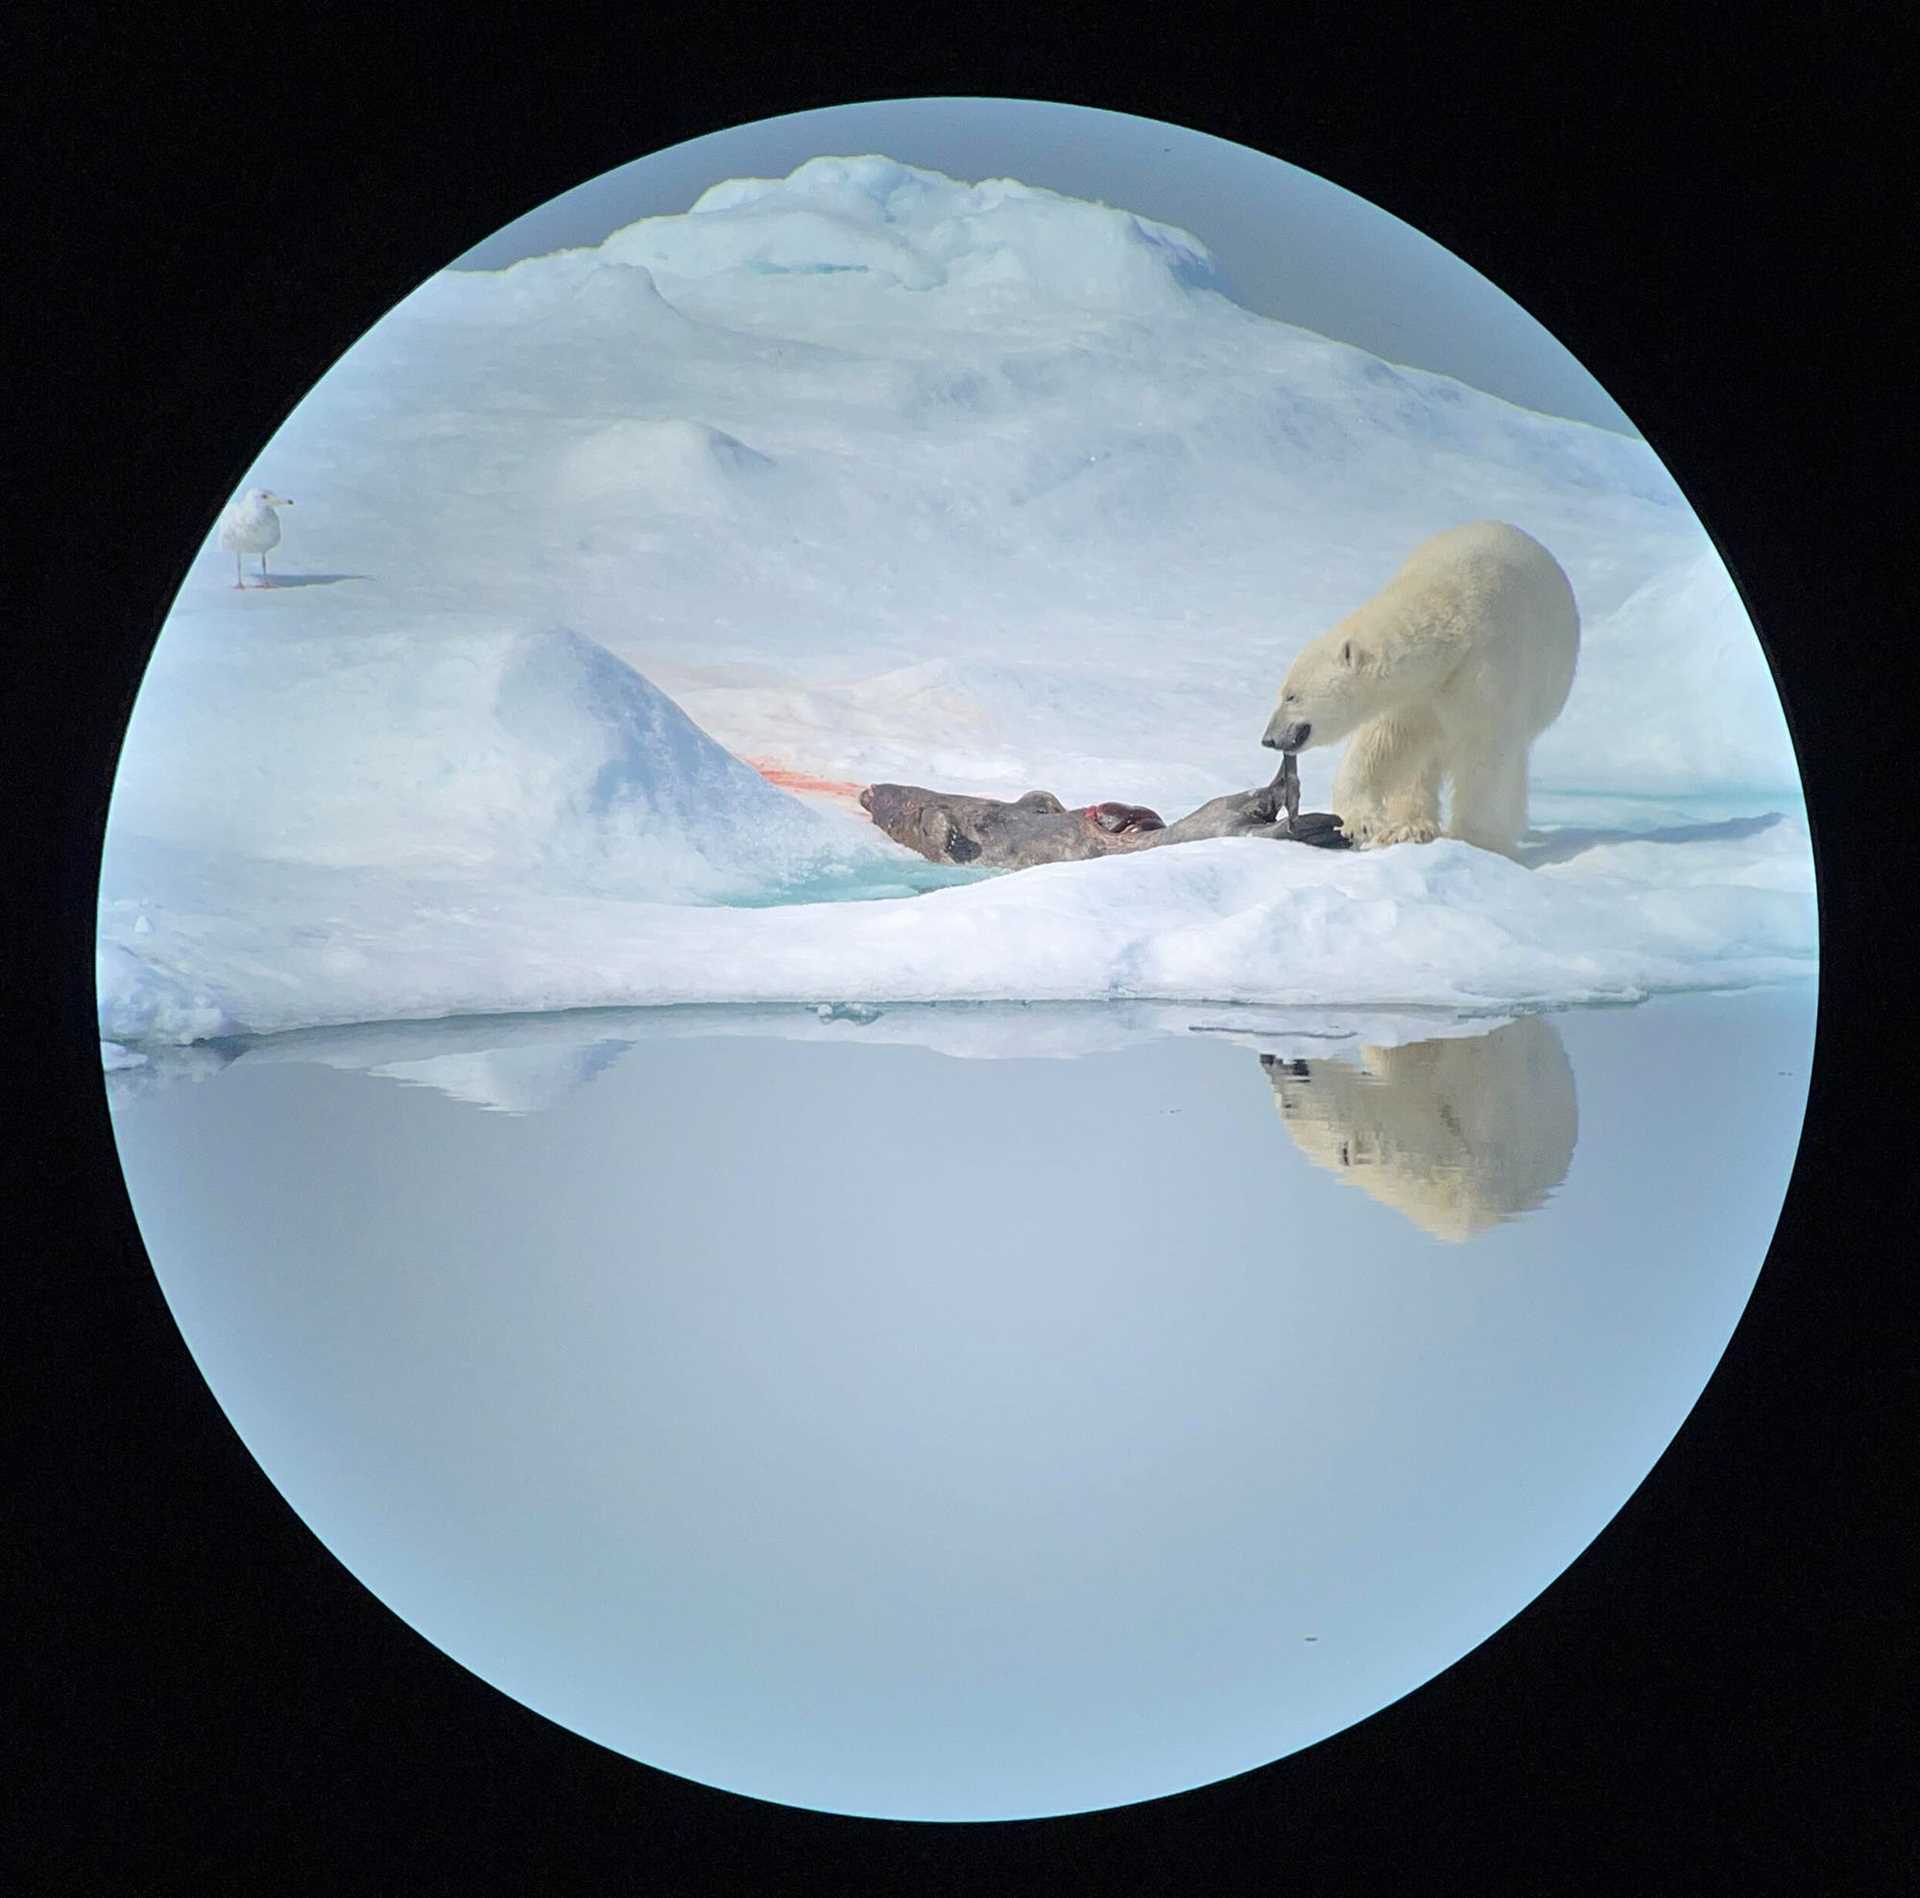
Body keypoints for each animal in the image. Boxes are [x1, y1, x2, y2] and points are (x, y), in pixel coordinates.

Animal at [1259, 510, 1574, 852]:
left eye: (1291, 695)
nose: (1269, 738)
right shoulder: (1412, 696)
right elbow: (1382, 744)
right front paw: (1360, 823)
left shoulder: (1489, 669)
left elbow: (1486, 751)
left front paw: (1473, 839)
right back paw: (1409, 827)